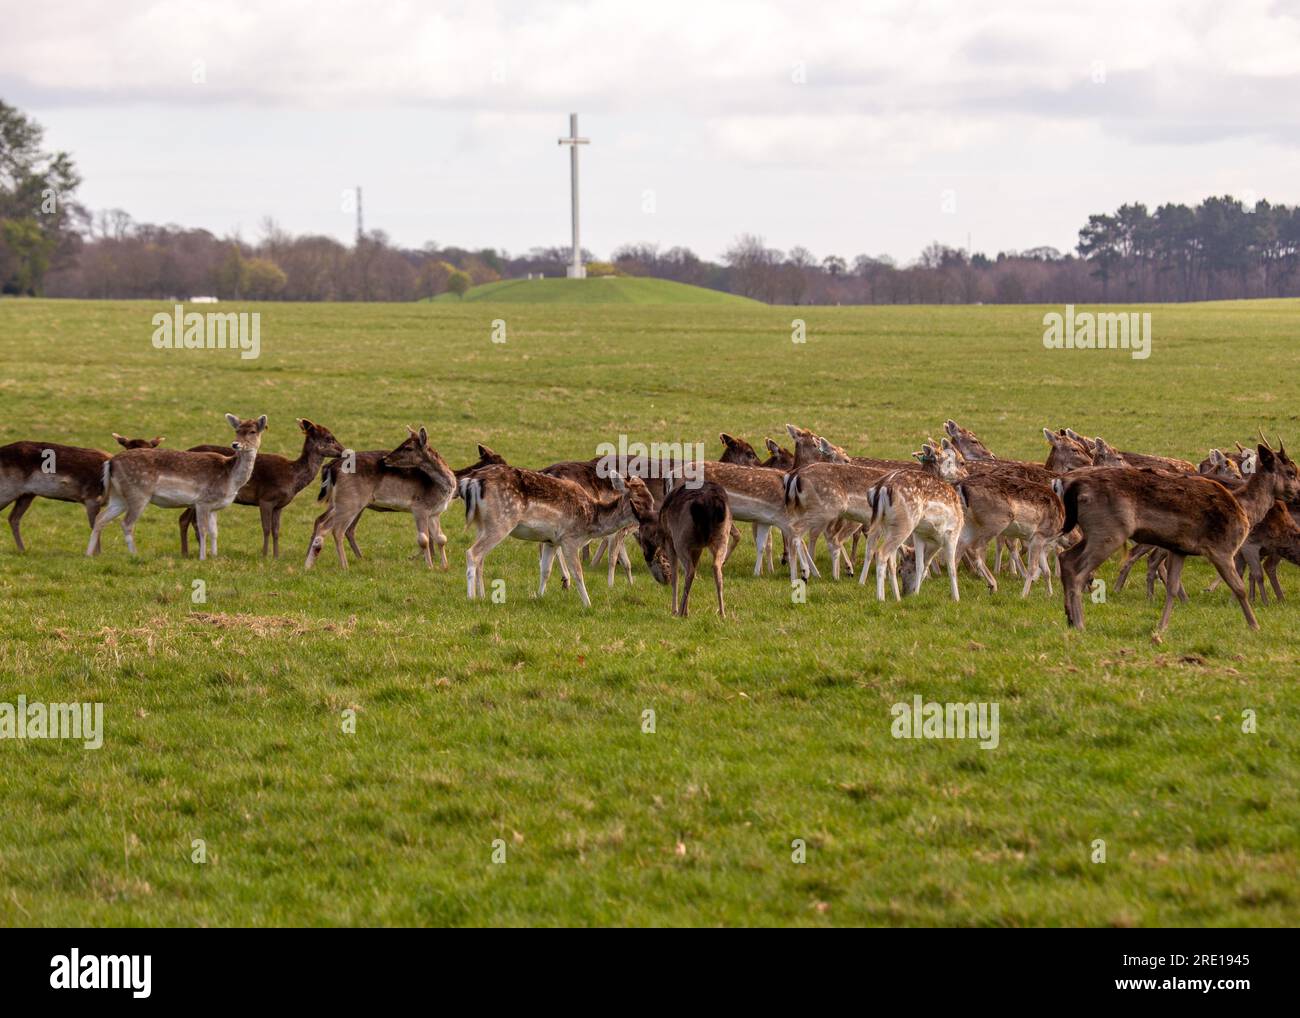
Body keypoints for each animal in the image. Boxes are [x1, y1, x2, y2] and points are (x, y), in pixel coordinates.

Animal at [1, 431, 163, 553]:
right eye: (128, 448)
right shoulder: (91, 497)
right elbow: (95, 525)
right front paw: (97, 554)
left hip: (27, 494)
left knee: (13, 518)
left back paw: (22, 549)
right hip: (8, 488)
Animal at [87, 410, 266, 556]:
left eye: (253, 431)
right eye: (237, 430)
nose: (235, 444)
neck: (230, 478)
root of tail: (110, 462)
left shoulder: (214, 506)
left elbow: (215, 532)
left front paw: (214, 557)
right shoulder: (203, 501)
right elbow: (203, 530)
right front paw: (202, 558)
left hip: (119, 496)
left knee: (100, 518)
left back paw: (88, 554)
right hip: (138, 493)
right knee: (126, 523)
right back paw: (134, 555)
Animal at [180, 418, 351, 556]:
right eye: (329, 438)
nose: (345, 452)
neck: (292, 477)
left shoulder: (279, 505)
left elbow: (276, 530)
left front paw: (276, 555)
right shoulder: (265, 498)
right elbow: (266, 528)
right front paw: (264, 555)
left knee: (189, 520)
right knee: (184, 519)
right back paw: (186, 552)